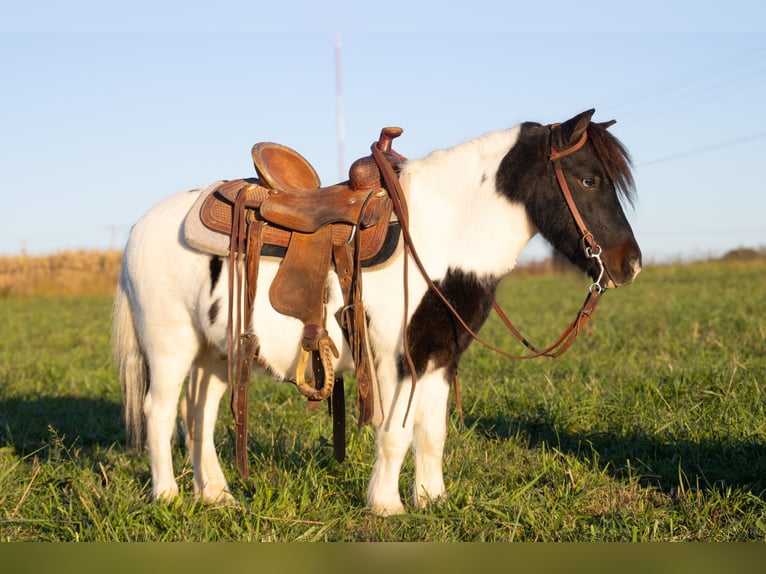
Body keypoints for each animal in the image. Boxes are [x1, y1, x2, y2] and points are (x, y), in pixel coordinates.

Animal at [112, 108, 641, 516]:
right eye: (589, 179)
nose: (630, 265)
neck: (437, 234)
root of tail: (140, 226)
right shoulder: (398, 359)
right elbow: (396, 434)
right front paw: (386, 505)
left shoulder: (439, 357)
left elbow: (433, 433)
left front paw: (432, 500)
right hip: (170, 347)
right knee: (160, 413)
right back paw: (169, 497)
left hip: (215, 356)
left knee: (198, 416)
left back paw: (217, 496)